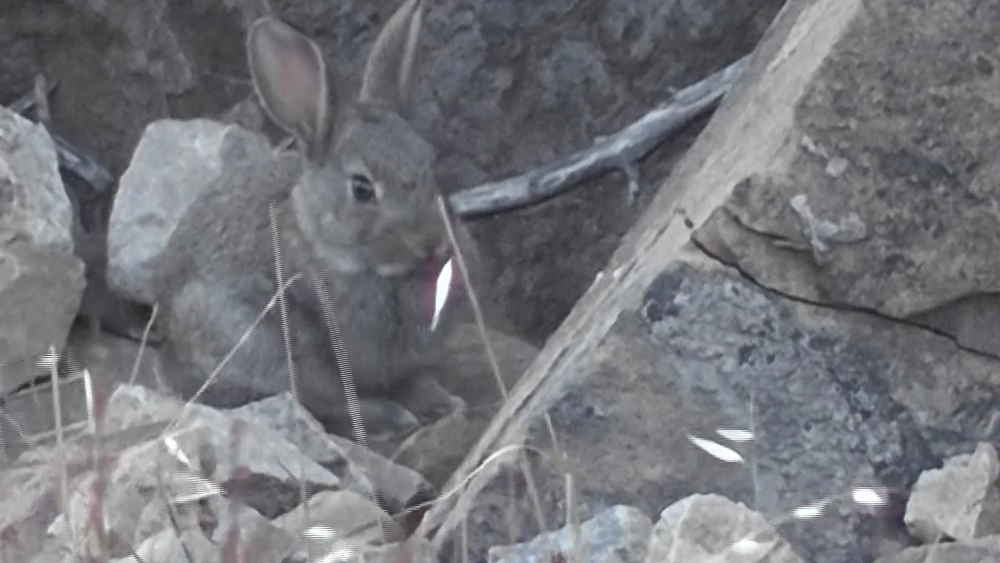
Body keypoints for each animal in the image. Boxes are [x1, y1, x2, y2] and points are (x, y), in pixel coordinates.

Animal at [153, 0, 486, 433]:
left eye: (430, 163)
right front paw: (415, 409)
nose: (433, 243)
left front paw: (443, 402)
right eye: (362, 188)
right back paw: (390, 416)